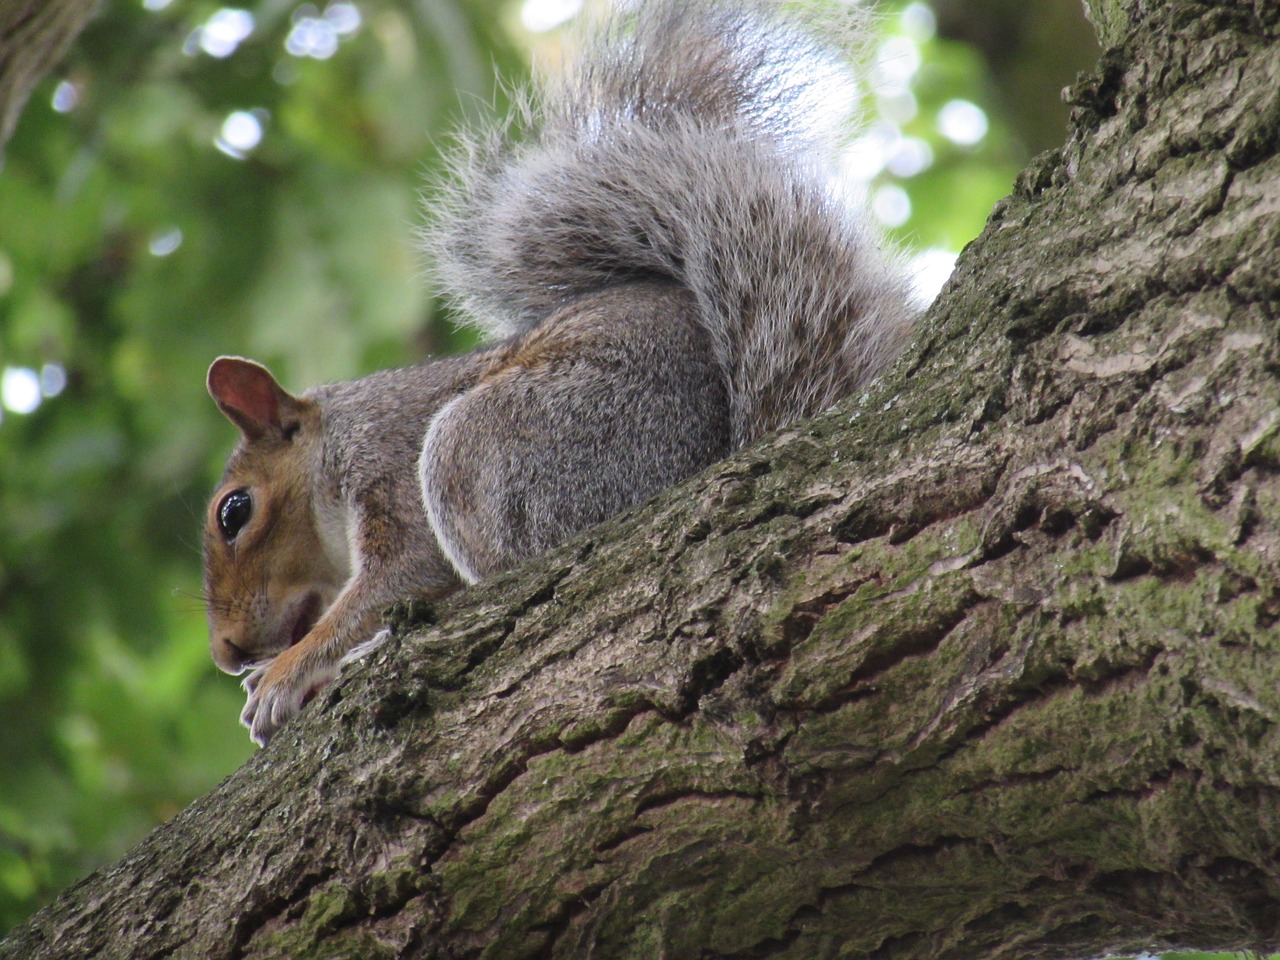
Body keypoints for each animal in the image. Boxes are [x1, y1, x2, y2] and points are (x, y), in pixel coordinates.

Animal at [204, 0, 916, 742]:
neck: (335, 444)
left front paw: (289, 673)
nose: (227, 653)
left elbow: (398, 578)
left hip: (496, 446)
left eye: (235, 511)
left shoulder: (389, 466)